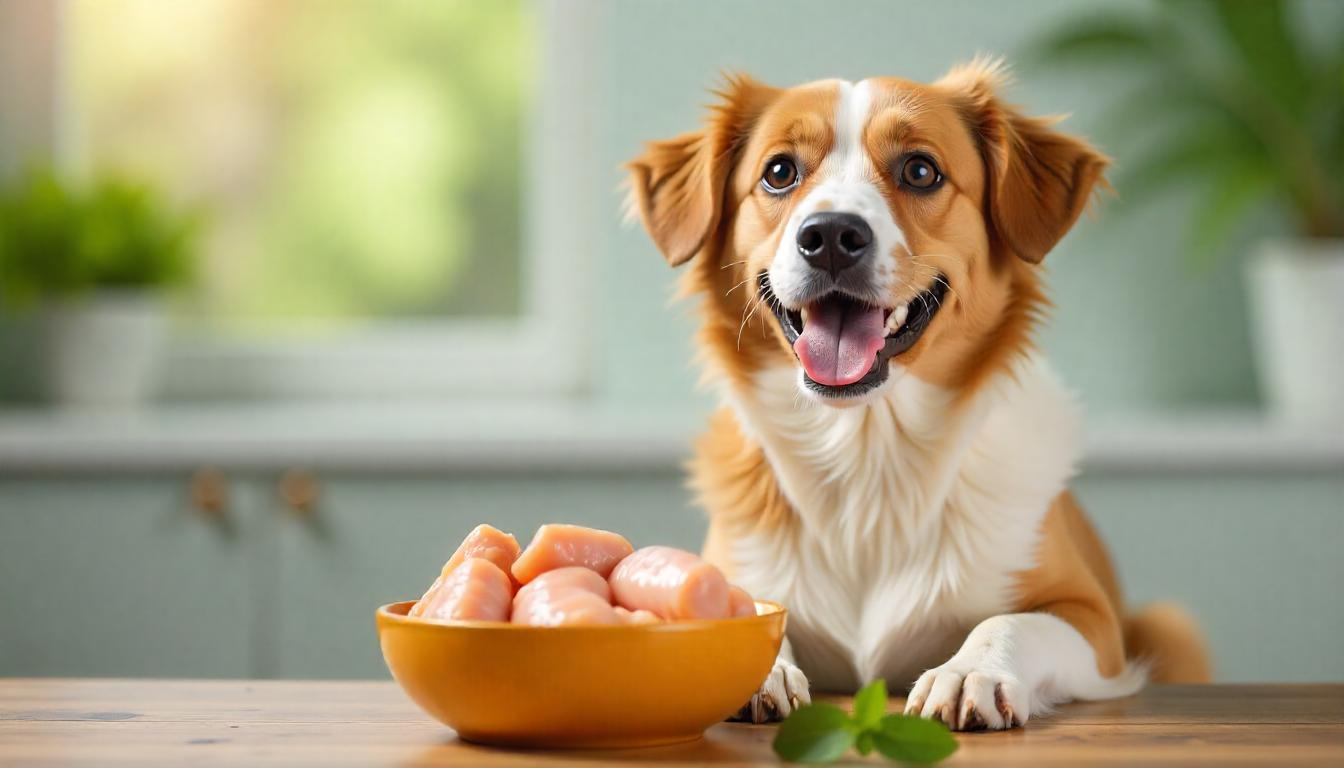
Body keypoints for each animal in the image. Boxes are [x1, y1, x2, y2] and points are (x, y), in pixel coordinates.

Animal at [623, 57, 1214, 731]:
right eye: (779, 172)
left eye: (920, 170)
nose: (831, 235)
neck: (867, 453)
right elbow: (752, 610)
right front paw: (755, 664)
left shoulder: (1091, 618)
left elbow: (1008, 621)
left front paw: (969, 672)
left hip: (1173, 626)